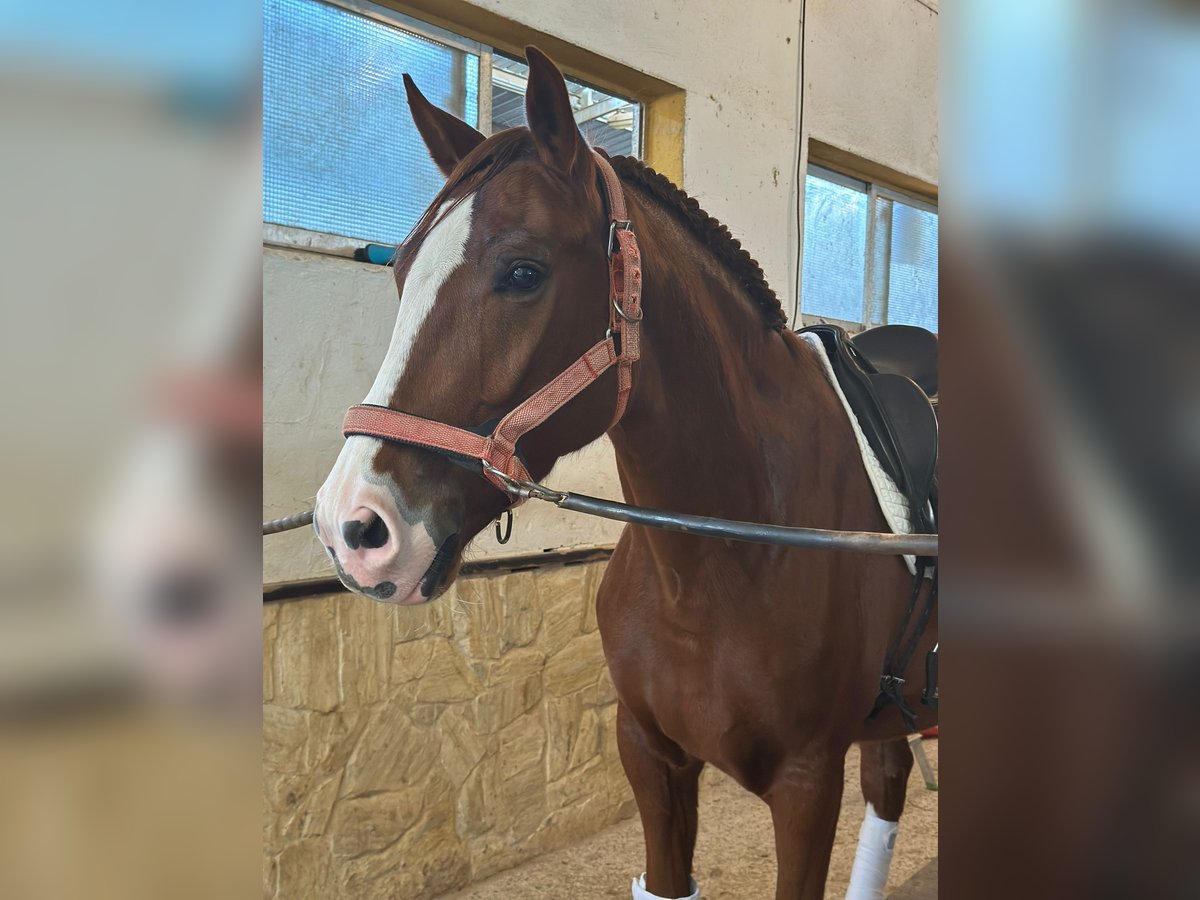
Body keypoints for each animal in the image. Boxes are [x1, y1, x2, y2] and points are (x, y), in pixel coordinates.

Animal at [313, 46, 937, 900]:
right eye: (401, 270)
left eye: (522, 271)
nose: (354, 526)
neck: (720, 560)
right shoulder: (649, 755)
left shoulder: (808, 784)